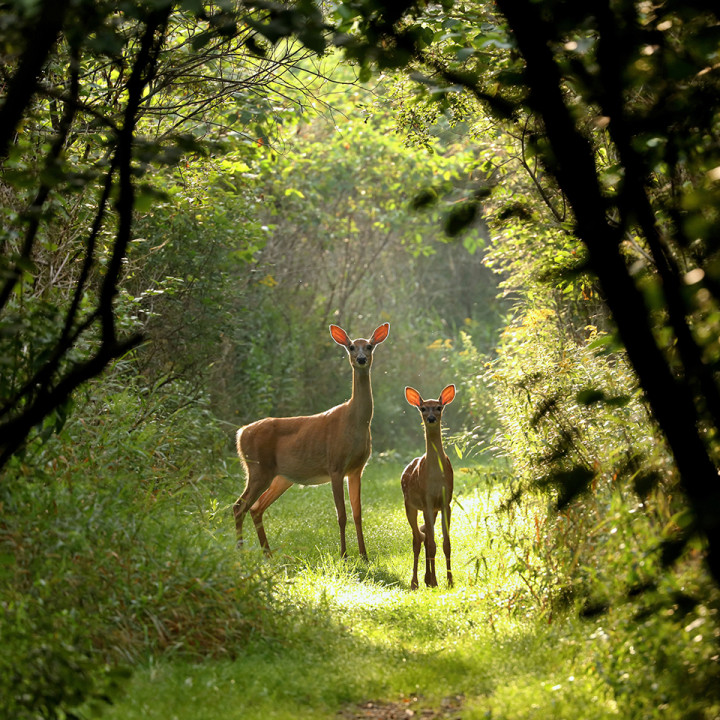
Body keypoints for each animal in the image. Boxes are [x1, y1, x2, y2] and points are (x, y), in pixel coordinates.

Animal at [232, 324, 388, 560]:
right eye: (351, 347)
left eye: (369, 346)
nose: (361, 359)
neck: (355, 422)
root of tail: (241, 433)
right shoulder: (335, 465)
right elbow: (341, 515)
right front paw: (344, 555)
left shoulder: (357, 469)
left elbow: (357, 513)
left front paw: (364, 556)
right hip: (258, 469)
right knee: (239, 506)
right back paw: (241, 554)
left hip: (280, 477)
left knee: (255, 507)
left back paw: (267, 555)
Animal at [400, 386, 456, 588]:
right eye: (423, 408)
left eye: (439, 407)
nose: (431, 418)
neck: (435, 476)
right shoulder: (426, 501)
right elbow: (432, 544)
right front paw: (436, 581)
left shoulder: (445, 502)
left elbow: (446, 544)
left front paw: (449, 580)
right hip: (409, 504)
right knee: (418, 539)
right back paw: (416, 582)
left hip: (433, 509)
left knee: (424, 537)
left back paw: (427, 579)